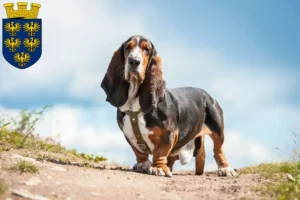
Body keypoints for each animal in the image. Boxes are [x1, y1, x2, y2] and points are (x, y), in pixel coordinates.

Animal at [101, 35, 237, 177]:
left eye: (146, 50)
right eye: (128, 48)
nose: (133, 61)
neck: (134, 98)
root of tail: (208, 96)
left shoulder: (170, 133)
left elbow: (160, 152)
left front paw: (158, 168)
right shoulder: (128, 134)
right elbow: (139, 152)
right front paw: (143, 164)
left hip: (218, 129)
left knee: (218, 150)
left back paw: (225, 169)